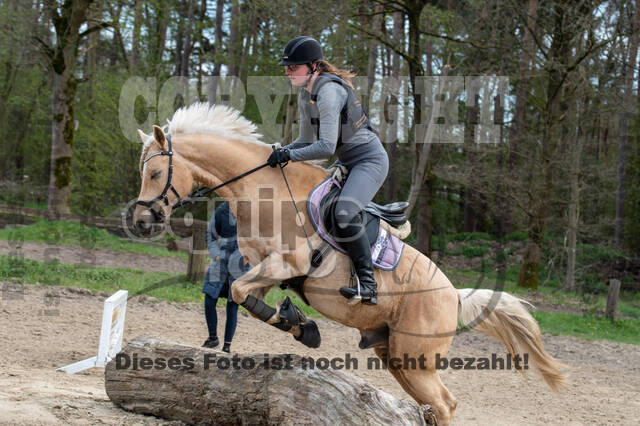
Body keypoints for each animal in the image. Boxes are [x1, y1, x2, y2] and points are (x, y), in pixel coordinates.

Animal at [131, 103, 564, 426]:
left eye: (155, 172)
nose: (140, 221)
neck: (262, 192)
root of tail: (453, 296)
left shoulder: (288, 263)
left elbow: (238, 290)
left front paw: (301, 326)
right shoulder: (265, 269)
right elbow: (244, 296)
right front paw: (299, 325)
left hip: (417, 358)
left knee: (445, 404)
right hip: (395, 355)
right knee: (436, 404)